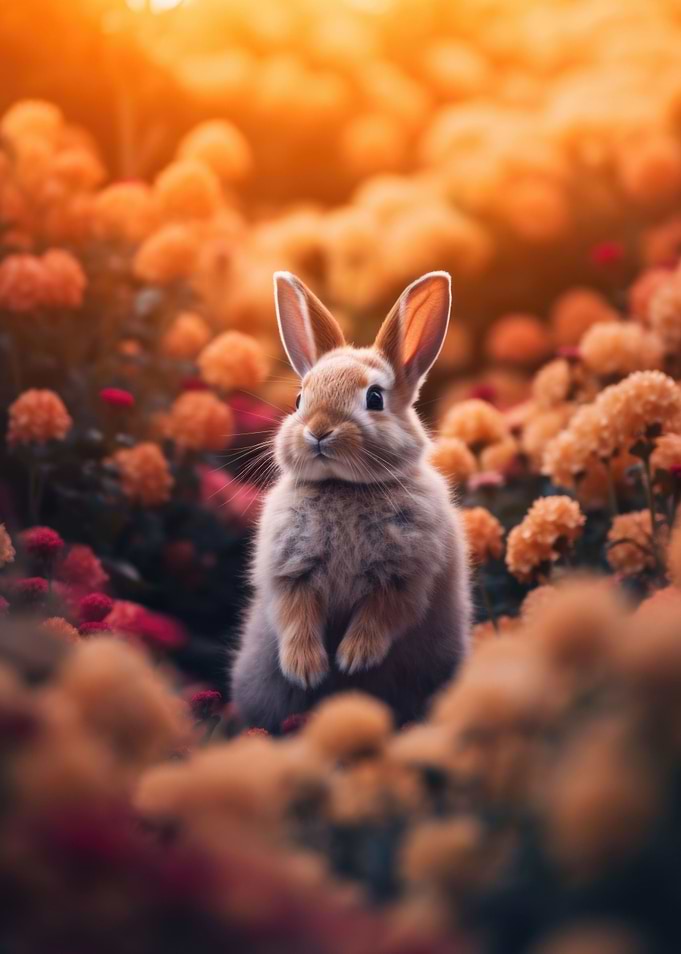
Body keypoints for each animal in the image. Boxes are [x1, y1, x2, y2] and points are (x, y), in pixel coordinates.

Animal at [231, 269, 471, 732]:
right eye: (299, 399)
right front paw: (307, 670)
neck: (343, 485)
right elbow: (295, 616)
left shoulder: (404, 577)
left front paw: (353, 659)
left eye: (374, 398)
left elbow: (382, 616)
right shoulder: (291, 572)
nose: (318, 431)